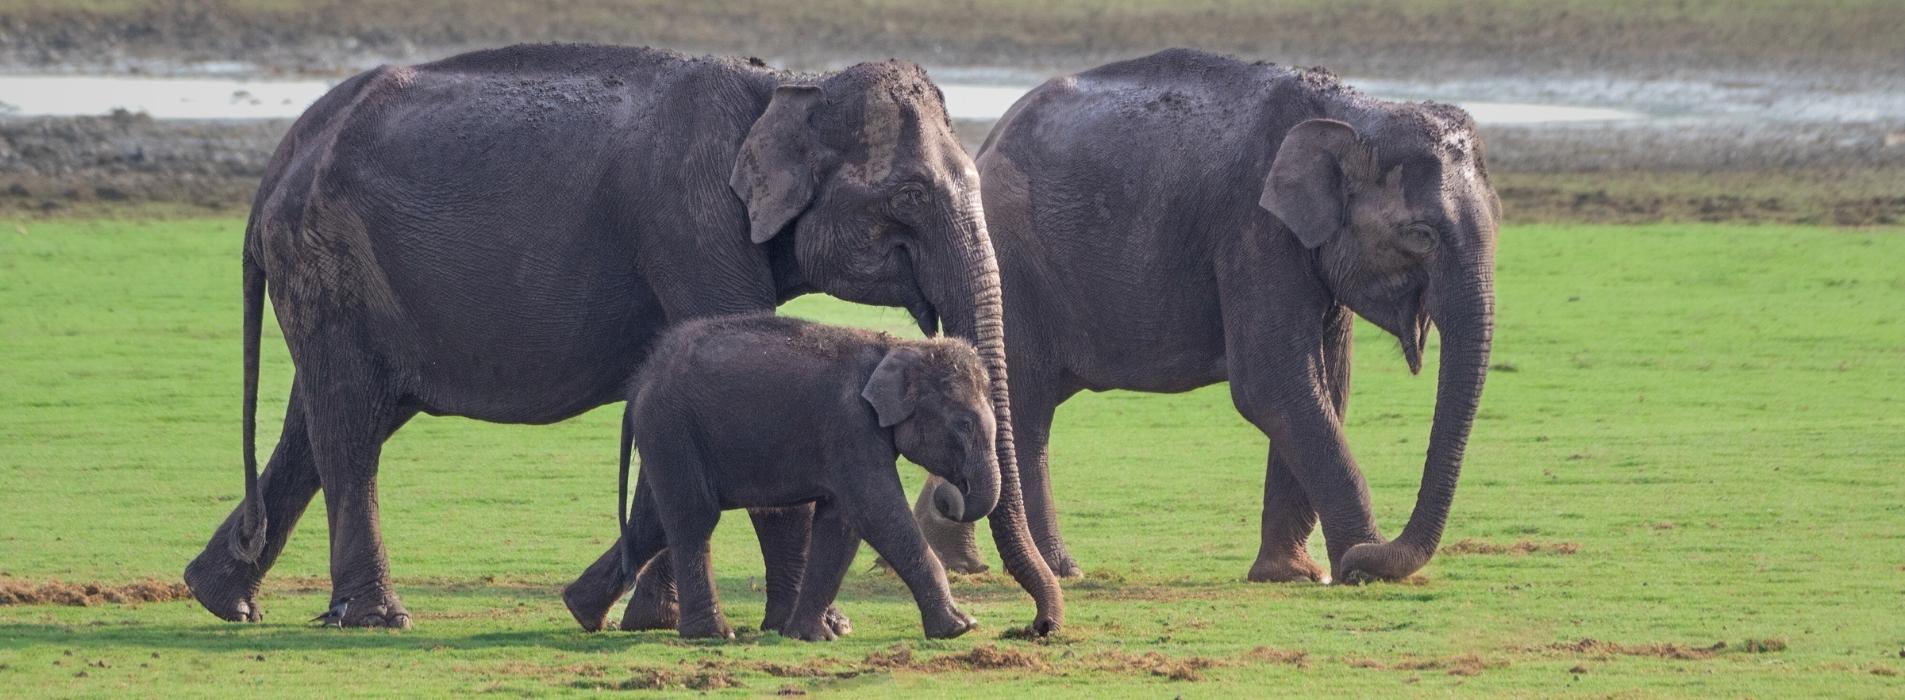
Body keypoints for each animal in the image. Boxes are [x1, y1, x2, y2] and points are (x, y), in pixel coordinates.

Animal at [608, 314, 1007, 640]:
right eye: (964, 424)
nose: (950, 496)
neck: (896, 347)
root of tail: (642, 378)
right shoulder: (851, 426)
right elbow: (876, 513)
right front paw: (962, 627)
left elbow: (841, 522)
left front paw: (810, 636)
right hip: (672, 428)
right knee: (693, 518)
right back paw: (713, 634)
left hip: (669, 437)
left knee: (654, 523)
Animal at [917, 48, 1499, 584]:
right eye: (1421, 234)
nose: (1365, 558)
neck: (1357, 110)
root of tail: (988, 144)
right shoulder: (1253, 230)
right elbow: (1274, 384)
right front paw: (1359, 566)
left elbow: (1325, 387)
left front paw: (1290, 575)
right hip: (1015, 265)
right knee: (1026, 408)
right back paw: (1060, 569)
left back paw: (956, 555)